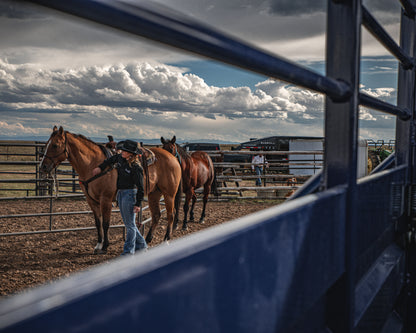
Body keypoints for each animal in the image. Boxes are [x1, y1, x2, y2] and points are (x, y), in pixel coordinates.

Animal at [40, 125, 180, 252]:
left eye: (55, 145)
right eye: (46, 144)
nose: (43, 167)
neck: (92, 164)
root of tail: (172, 157)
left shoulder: (105, 199)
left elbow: (106, 223)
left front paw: (105, 246)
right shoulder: (91, 200)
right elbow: (98, 223)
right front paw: (98, 244)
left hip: (169, 194)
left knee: (171, 214)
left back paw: (166, 239)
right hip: (154, 194)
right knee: (156, 215)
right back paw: (147, 239)